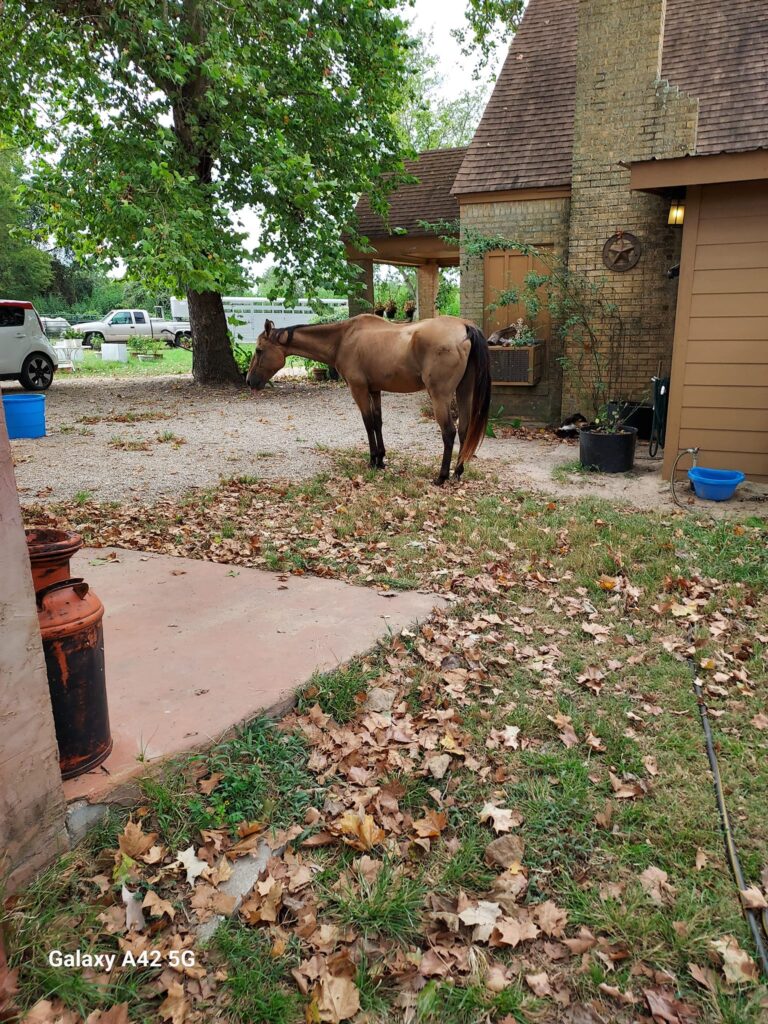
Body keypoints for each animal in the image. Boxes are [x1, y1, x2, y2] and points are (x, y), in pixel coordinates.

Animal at [246, 314, 492, 485]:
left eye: (258, 350)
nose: (249, 381)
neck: (343, 339)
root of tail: (464, 327)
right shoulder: (375, 391)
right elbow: (378, 422)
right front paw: (381, 459)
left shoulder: (359, 390)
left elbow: (368, 423)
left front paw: (373, 460)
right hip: (463, 392)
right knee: (464, 430)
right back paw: (458, 473)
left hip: (440, 396)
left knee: (449, 432)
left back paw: (442, 477)